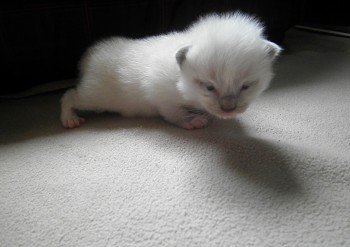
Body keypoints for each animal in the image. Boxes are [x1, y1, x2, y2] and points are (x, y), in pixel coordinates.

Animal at [60, 11, 282, 129]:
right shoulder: (161, 94)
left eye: (246, 86)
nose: (228, 109)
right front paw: (192, 121)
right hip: (96, 95)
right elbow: (172, 113)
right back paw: (69, 118)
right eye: (209, 87)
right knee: (70, 95)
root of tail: (91, 54)